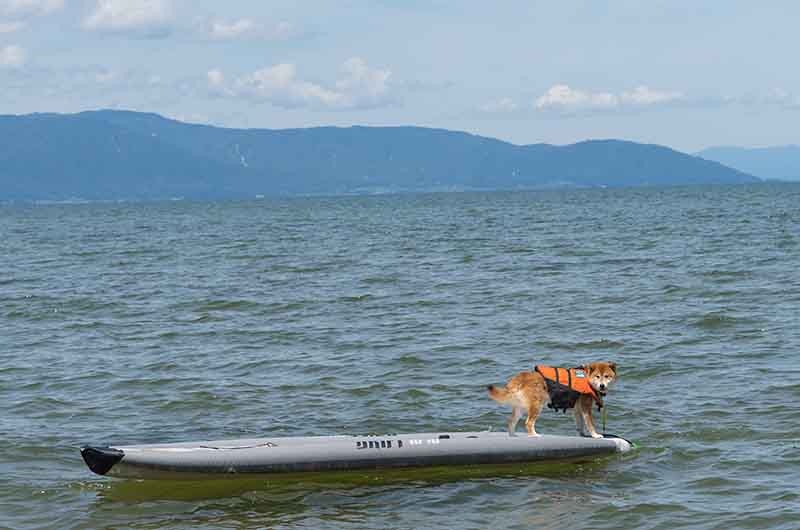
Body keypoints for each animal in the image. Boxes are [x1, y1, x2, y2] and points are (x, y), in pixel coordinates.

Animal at [488, 358, 620, 438]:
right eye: (597, 376)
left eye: (607, 376)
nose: (602, 385)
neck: (587, 378)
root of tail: (521, 376)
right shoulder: (585, 407)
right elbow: (590, 423)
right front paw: (595, 435)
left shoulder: (578, 409)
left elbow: (580, 423)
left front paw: (582, 434)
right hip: (537, 404)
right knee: (528, 422)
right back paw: (534, 435)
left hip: (520, 406)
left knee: (511, 421)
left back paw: (513, 435)